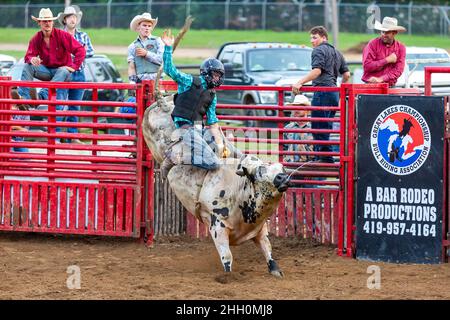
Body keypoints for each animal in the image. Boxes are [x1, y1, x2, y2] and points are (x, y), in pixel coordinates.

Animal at [142, 18, 292, 278]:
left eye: (278, 168)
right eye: (260, 172)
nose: (283, 177)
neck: (238, 189)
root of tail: (163, 101)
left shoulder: (259, 229)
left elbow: (268, 248)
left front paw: (275, 270)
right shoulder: (216, 225)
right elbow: (227, 256)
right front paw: (227, 276)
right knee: (171, 154)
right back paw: (170, 161)